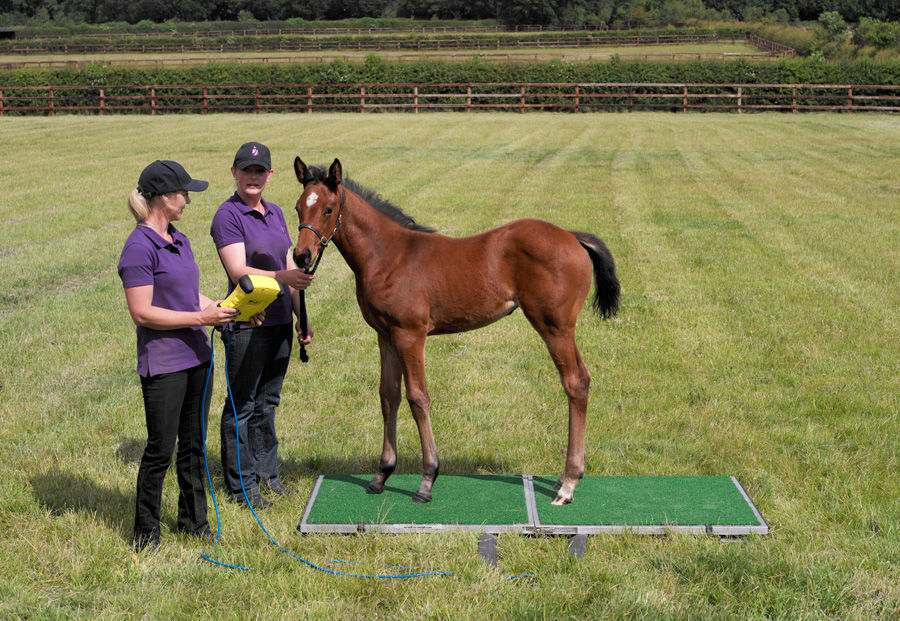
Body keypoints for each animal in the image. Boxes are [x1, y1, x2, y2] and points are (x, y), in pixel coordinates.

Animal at [292, 157, 620, 505]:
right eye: (298, 207)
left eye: (328, 209)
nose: (301, 256)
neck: (387, 255)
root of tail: (571, 236)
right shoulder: (385, 336)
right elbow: (388, 396)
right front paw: (382, 474)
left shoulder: (410, 334)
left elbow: (418, 397)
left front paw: (427, 480)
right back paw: (566, 477)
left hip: (555, 326)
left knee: (576, 382)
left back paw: (568, 483)